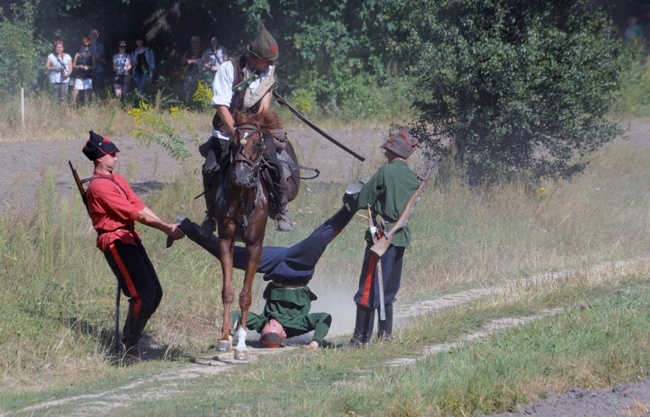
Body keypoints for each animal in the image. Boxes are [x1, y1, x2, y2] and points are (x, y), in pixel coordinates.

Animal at [213, 109, 298, 360]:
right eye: (233, 143)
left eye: (258, 143)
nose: (241, 176)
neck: (243, 197)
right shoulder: (225, 241)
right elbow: (228, 291)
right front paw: (224, 338)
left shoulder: (254, 246)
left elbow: (246, 295)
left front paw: (241, 346)